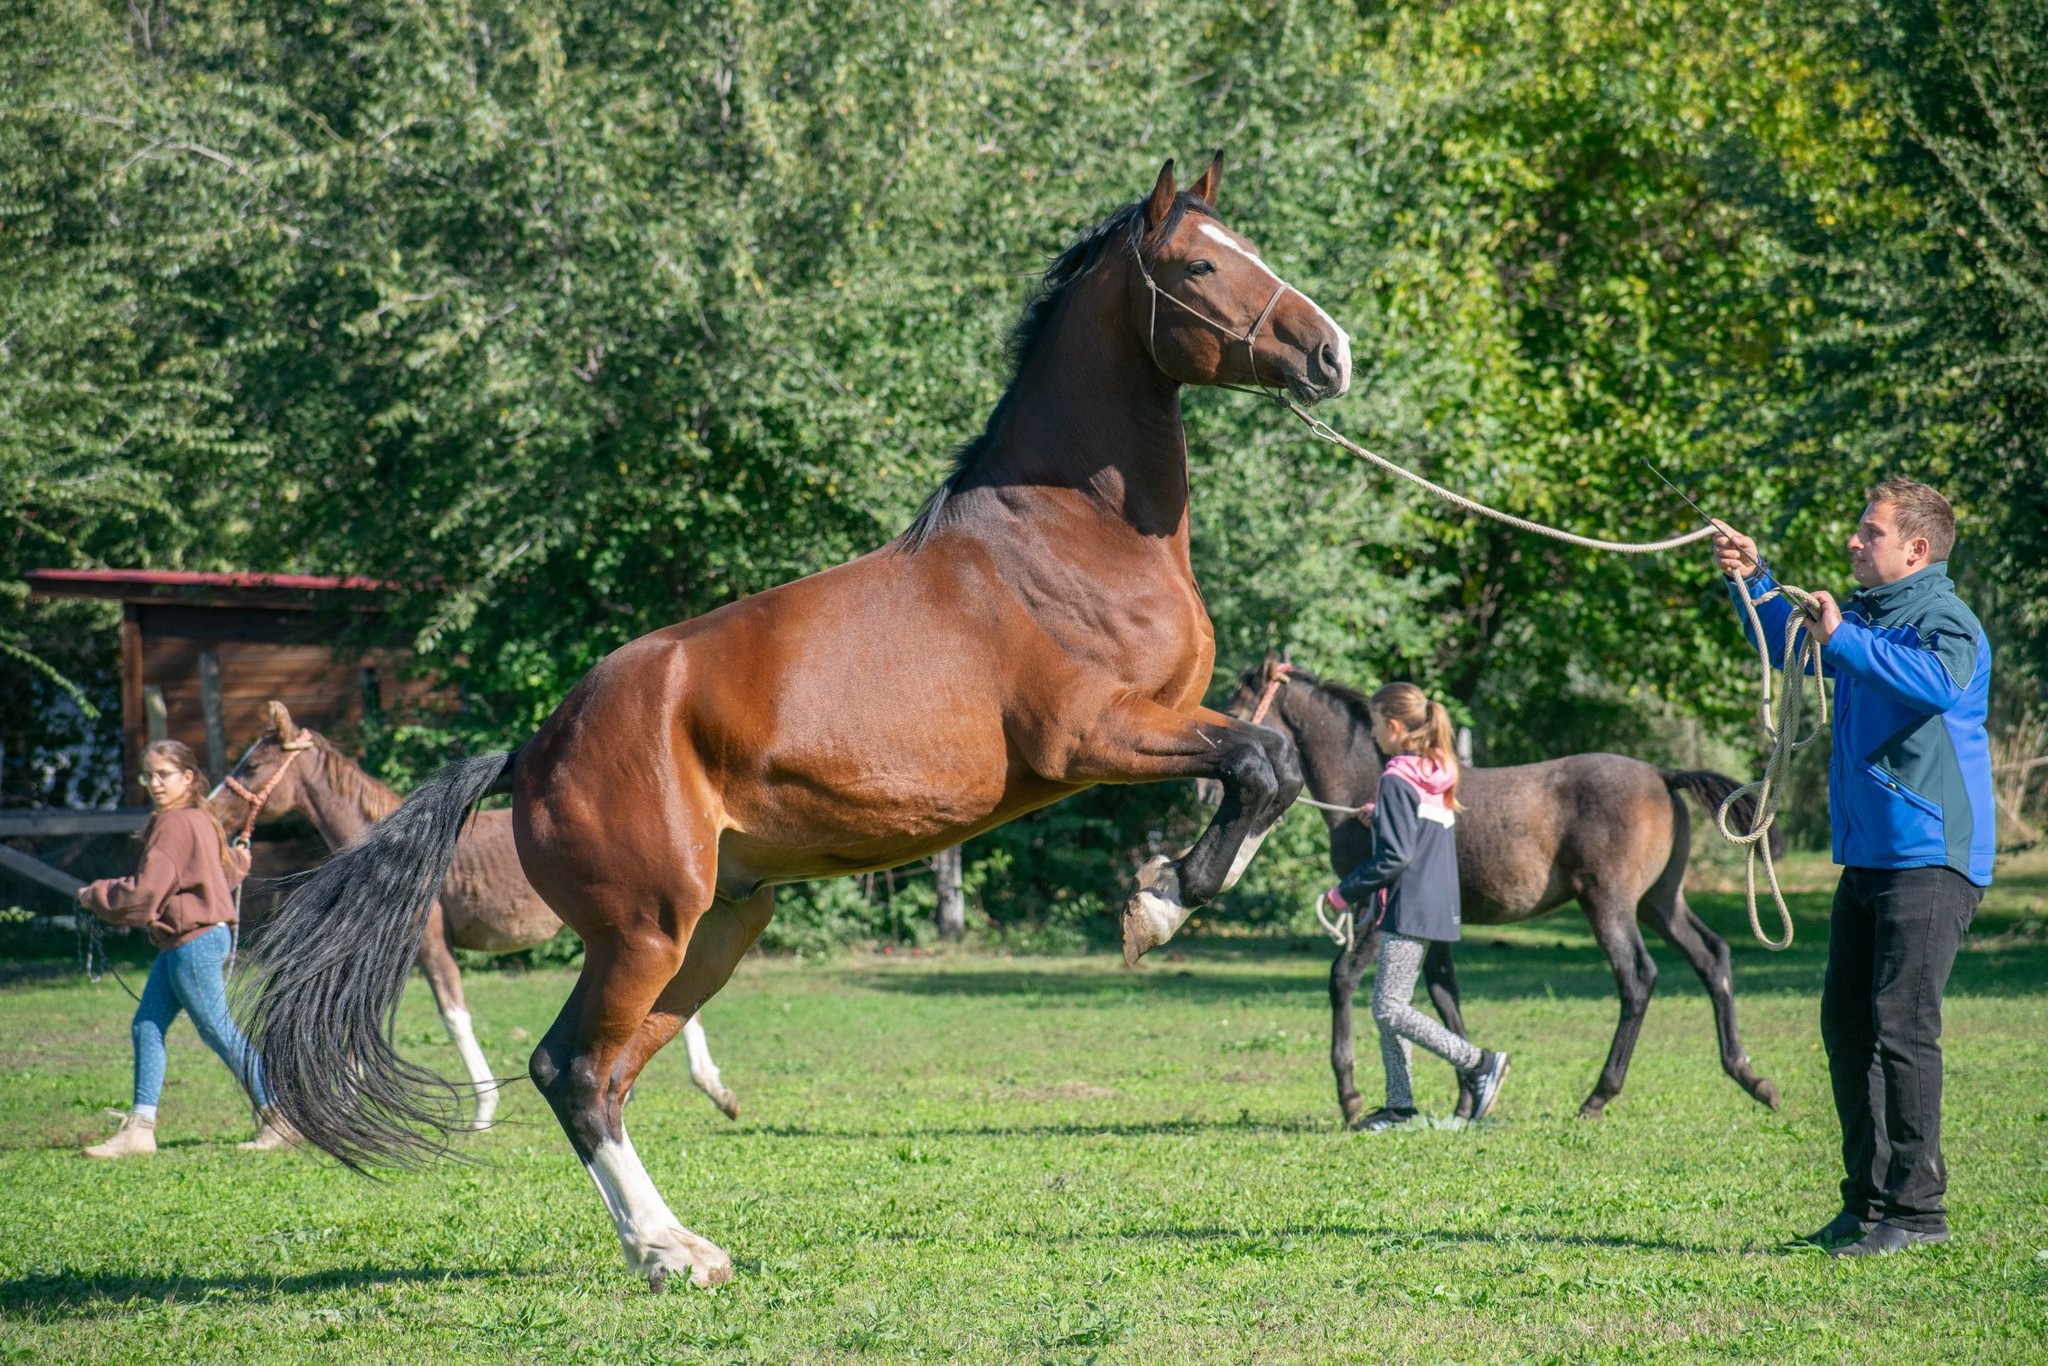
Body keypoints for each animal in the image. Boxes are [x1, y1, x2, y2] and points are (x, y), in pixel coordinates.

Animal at [205, 700, 737, 1130]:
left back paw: (714, 1090)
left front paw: (483, 1110)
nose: (214, 814)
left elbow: (453, 1017)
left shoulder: (430, 947)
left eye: (253, 764)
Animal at [1220, 659, 1785, 1122]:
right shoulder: (1430, 925)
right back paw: (1751, 1077)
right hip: (1660, 903)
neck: (1369, 781)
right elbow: (1444, 995)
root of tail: (1664, 775)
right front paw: (1469, 1094)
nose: (1210, 789)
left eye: (1235, 708)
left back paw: (1599, 1096)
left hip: (1609, 904)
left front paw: (1351, 1097)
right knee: (1712, 957)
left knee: (1638, 979)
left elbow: (1342, 980)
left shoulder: (1374, 910)